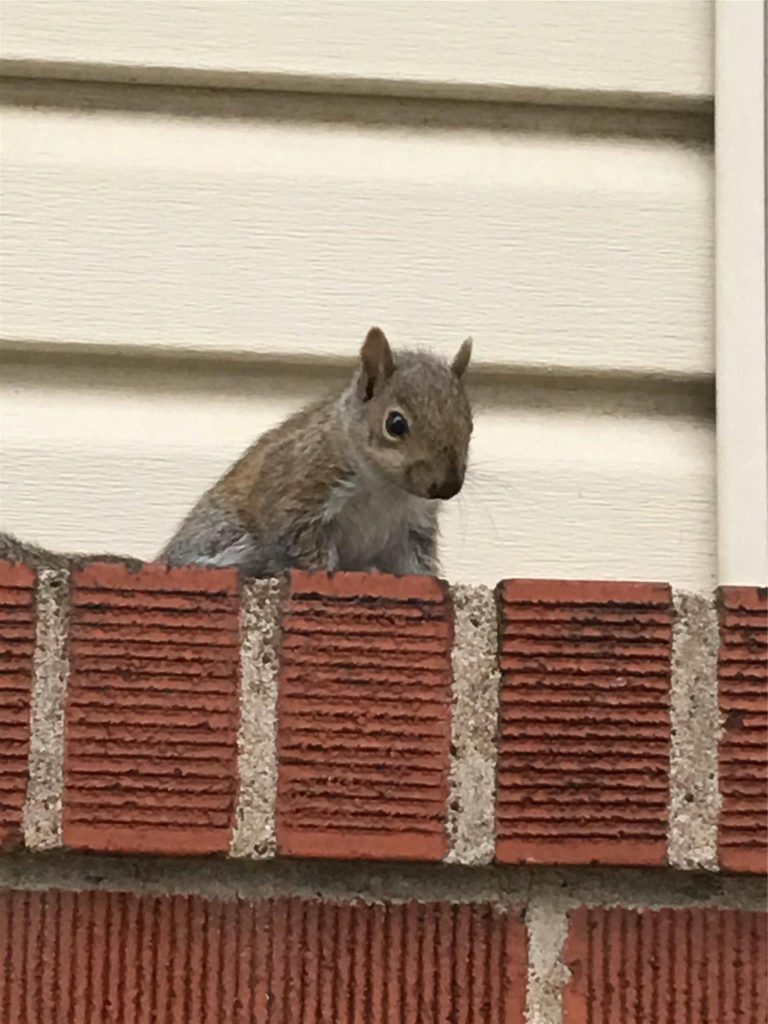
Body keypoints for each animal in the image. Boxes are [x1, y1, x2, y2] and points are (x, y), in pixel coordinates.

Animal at [0, 328, 473, 577]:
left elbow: (415, 568)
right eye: (396, 424)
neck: (384, 488)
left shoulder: (410, 529)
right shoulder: (302, 491)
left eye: (470, 420)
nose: (447, 486)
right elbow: (304, 549)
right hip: (229, 538)